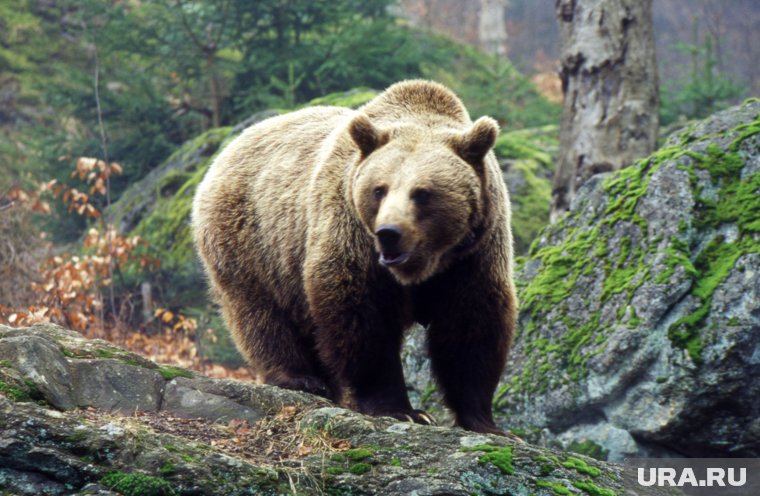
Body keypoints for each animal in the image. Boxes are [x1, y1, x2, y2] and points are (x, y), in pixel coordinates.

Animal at [193, 79, 520, 432]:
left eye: (423, 193)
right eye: (379, 189)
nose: (389, 233)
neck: (427, 262)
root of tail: (228, 148)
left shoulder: (473, 253)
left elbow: (471, 324)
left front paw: (483, 420)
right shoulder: (351, 231)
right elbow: (362, 315)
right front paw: (401, 408)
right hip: (254, 241)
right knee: (261, 313)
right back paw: (300, 378)